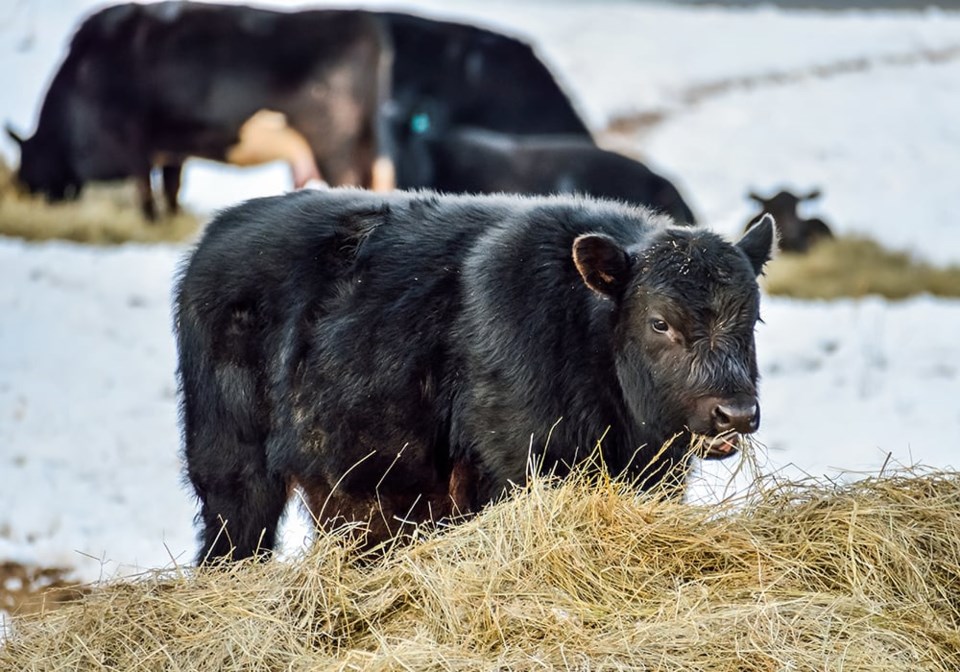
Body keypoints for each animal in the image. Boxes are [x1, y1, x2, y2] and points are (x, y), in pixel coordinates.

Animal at [174, 188, 772, 560]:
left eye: (753, 318)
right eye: (659, 322)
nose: (734, 413)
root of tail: (219, 234)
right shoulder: (517, 468)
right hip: (232, 476)